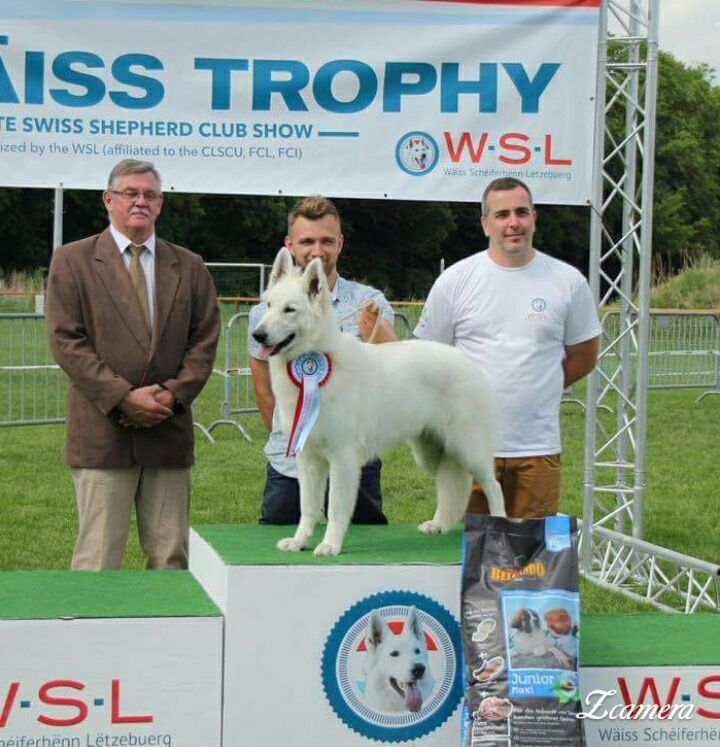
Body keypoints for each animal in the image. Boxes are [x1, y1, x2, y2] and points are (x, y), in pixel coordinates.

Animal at [253, 248, 506, 560]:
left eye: (290, 310)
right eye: (269, 305)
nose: (257, 335)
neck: (315, 356)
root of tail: (466, 361)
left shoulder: (343, 459)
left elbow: (335, 509)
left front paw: (330, 544)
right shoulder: (308, 458)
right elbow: (308, 508)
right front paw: (300, 541)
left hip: (467, 449)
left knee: (494, 486)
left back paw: (499, 527)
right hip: (431, 453)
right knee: (447, 486)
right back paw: (437, 524)